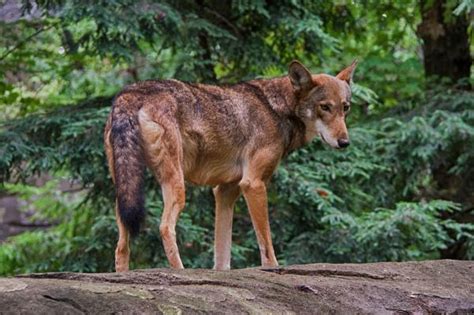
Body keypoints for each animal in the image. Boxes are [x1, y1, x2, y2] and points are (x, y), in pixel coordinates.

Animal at [103, 59, 356, 272]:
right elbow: (266, 246)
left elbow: (222, 255)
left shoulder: (225, 191)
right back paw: (180, 271)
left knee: (121, 246)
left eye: (345, 107)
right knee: (165, 228)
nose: (345, 142)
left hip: (125, 192)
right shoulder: (253, 184)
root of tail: (130, 94)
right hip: (176, 186)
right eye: (325, 107)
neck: (276, 108)